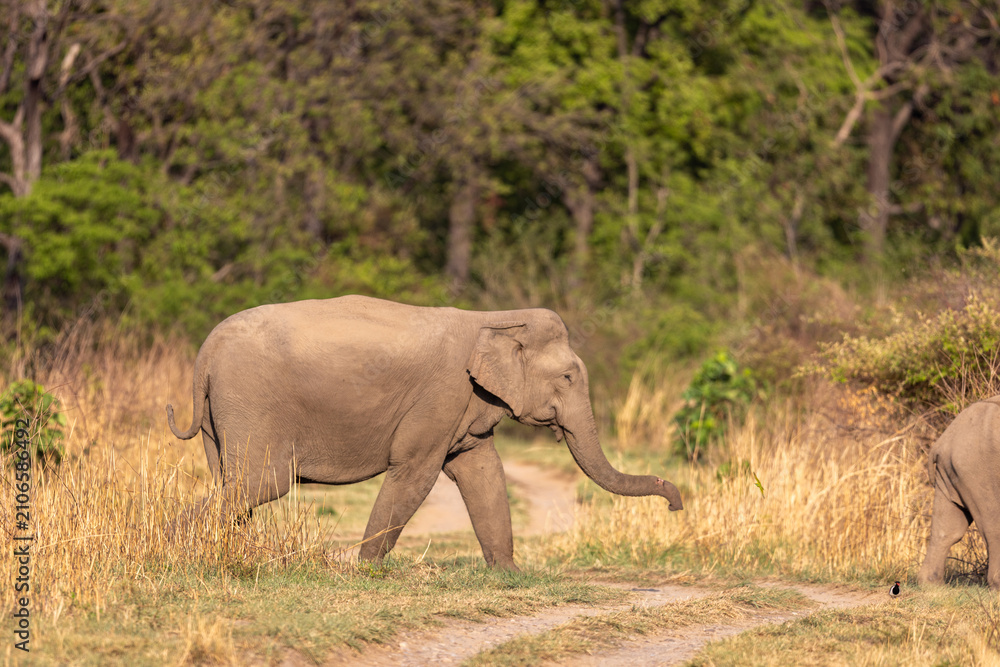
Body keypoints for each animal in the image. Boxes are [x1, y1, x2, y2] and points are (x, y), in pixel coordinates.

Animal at [167, 295, 683, 569]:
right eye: (569, 377)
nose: (675, 504)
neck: (493, 318)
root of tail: (205, 353)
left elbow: (483, 473)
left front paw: (510, 573)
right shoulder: (442, 395)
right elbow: (415, 473)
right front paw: (365, 570)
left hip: (221, 415)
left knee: (233, 483)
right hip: (251, 401)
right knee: (261, 483)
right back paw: (172, 546)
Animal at [918, 396, 1000, 590]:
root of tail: (943, 441)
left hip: (953, 470)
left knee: (948, 529)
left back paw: (931, 586)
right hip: (979, 470)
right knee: (993, 525)